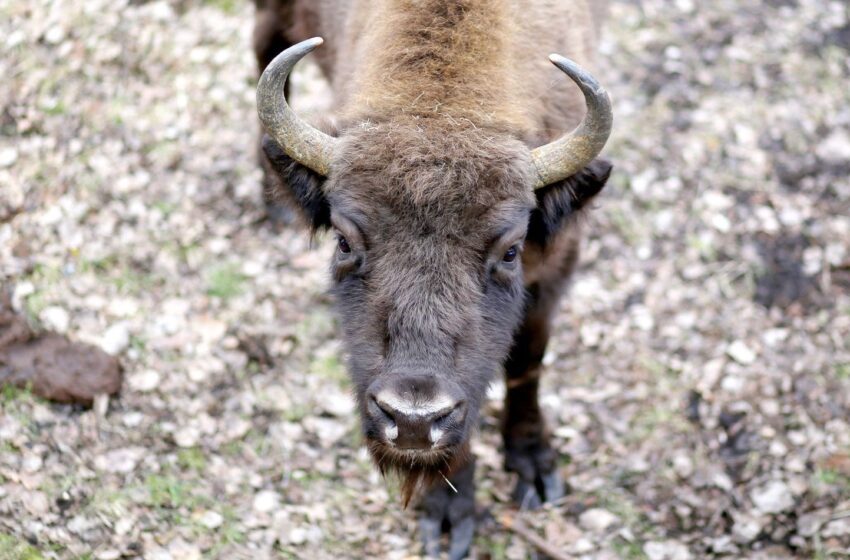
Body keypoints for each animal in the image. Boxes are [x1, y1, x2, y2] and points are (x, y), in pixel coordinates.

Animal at [252, 0, 608, 556]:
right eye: (344, 241)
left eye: (510, 250)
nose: (413, 420)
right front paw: (447, 514)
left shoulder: (555, 268)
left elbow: (527, 361)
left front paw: (534, 467)